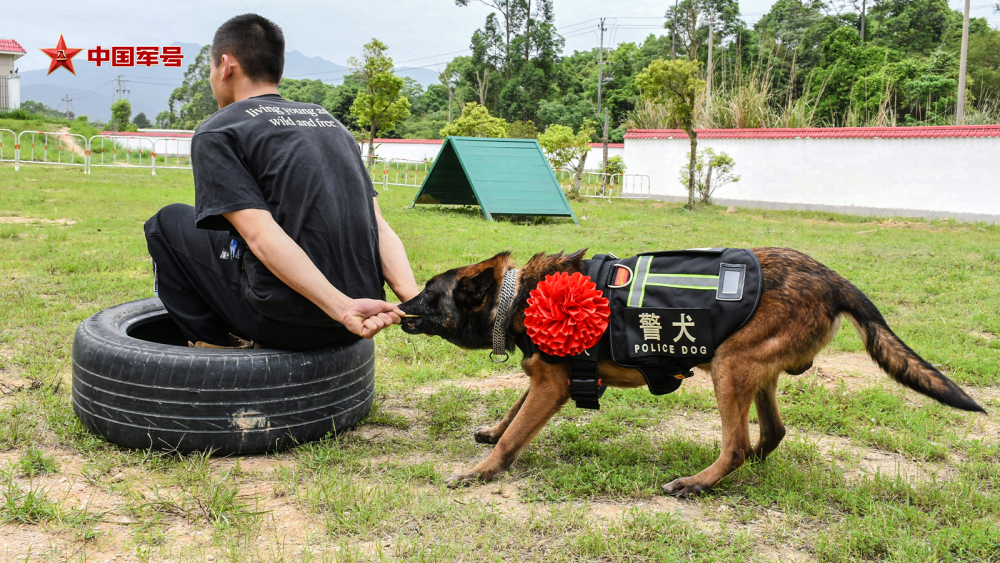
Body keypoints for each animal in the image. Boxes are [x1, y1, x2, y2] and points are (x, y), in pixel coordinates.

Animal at [398, 249, 984, 496]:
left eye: (427, 295)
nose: (398, 304)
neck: (515, 296)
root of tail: (832, 278)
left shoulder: (553, 384)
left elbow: (514, 434)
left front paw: (481, 471)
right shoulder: (544, 379)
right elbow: (513, 413)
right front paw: (492, 433)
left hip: (729, 367)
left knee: (737, 444)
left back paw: (698, 482)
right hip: (751, 370)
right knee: (769, 434)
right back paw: (747, 467)